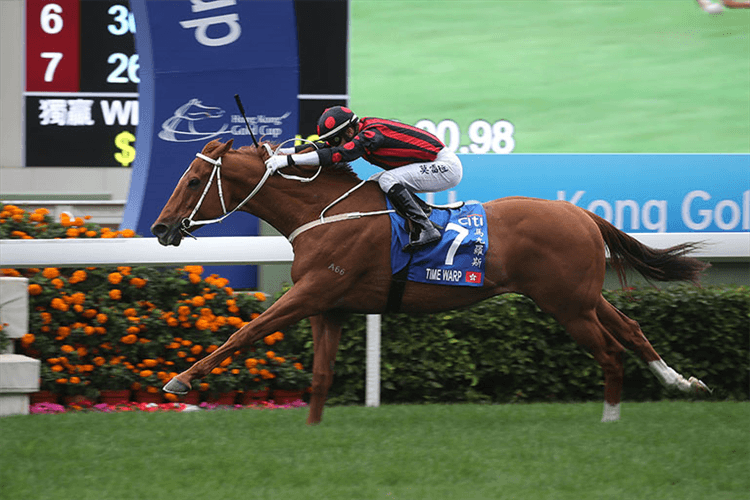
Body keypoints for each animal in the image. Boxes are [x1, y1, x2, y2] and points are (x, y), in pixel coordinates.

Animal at [151, 139, 712, 424]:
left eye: (195, 181)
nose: (160, 228)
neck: (324, 213)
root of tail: (580, 213)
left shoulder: (312, 292)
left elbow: (245, 332)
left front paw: (180, 380)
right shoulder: (329, 306)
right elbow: (321, 375)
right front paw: (312, 433)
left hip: (568, 306)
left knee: (611, 352)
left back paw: (610, 421)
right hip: (581, 298)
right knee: (632, 329)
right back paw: (682, 382)